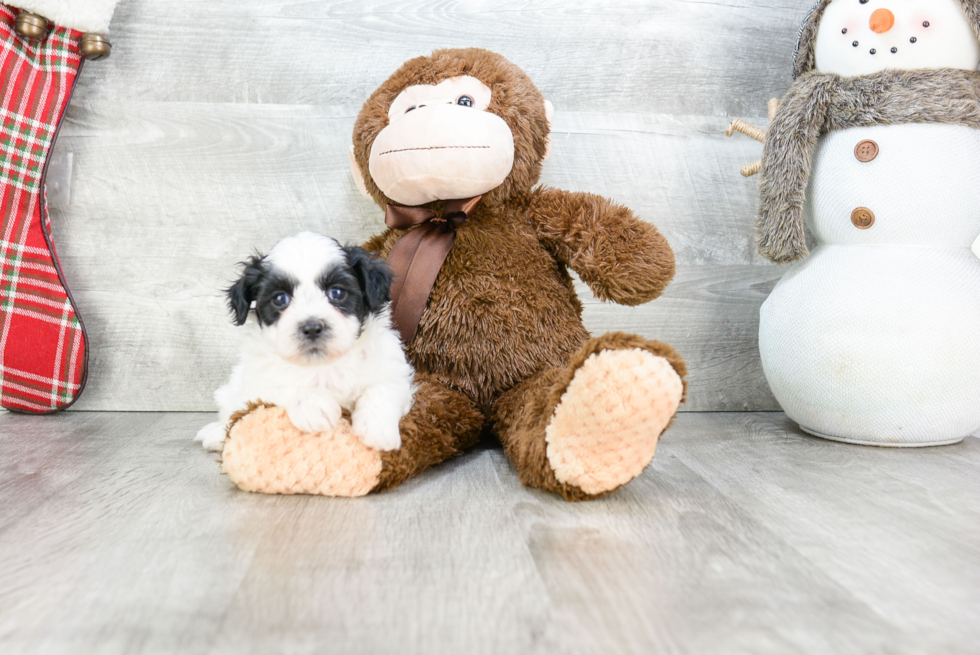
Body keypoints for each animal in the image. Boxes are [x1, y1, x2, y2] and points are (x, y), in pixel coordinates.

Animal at [197, 233, 416, 454]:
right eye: (280, 298)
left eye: (337, 293)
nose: (311, 327)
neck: (323, 366)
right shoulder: (257, 382)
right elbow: (279, 385)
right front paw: (314, 405)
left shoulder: (392, 369)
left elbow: (383, 389)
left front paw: (378, 429)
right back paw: (215, 434)